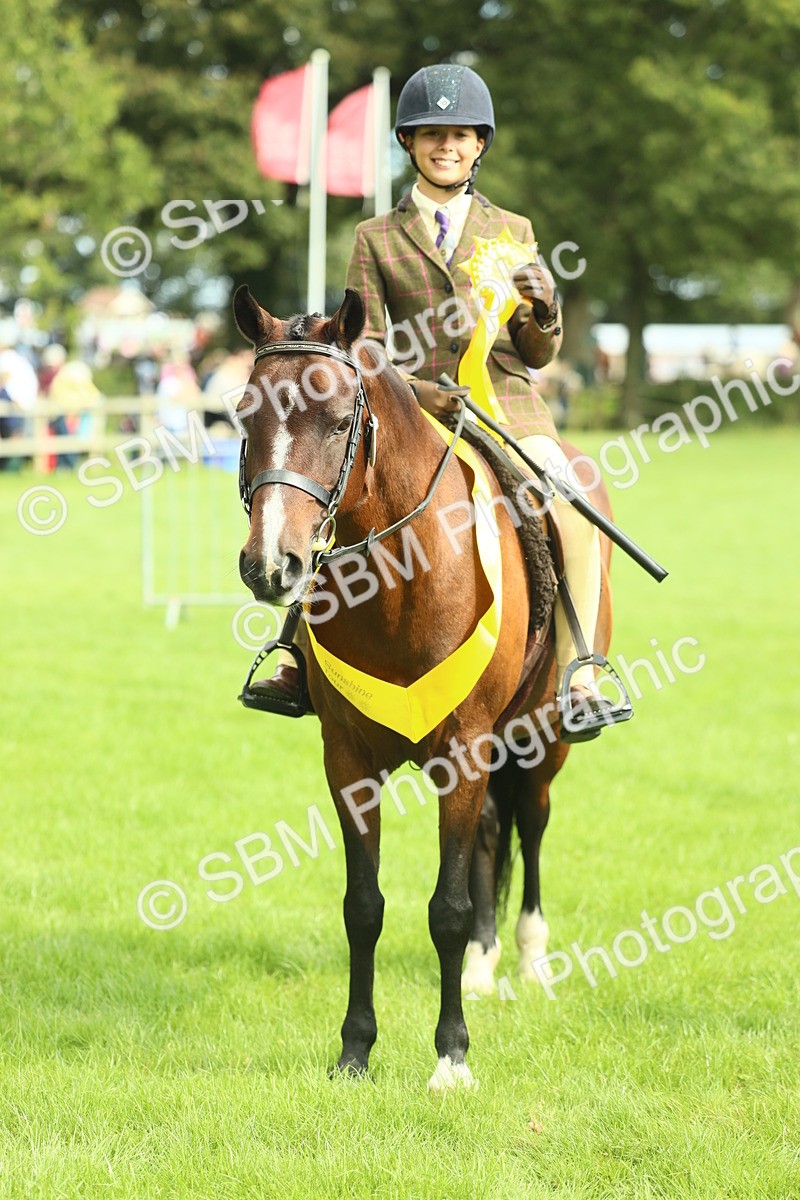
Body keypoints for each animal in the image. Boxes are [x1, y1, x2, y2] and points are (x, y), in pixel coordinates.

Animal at [233, 284, 616, 1090]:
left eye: (339, 420)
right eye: (245, 416)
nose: (271, 565)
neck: (400, 578)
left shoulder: (464, 751)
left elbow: (446, 907)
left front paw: (451, 1058)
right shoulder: (348, 760)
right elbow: (364, 906)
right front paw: (354, 1050)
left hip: (540, 740)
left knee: (531, 823)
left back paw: (531, 959)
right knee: (492, 837)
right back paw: (483, 964)